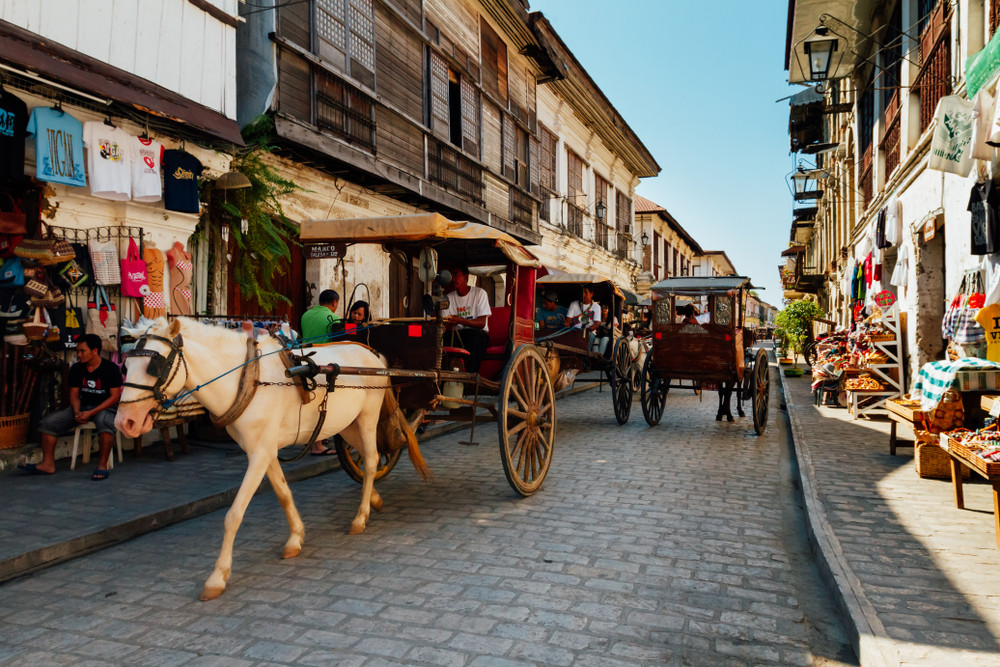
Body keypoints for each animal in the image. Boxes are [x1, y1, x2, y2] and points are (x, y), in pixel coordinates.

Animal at [115, 318, 428, 600]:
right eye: (125, 367)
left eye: (154, 367)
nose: (125, 423)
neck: (248, 379)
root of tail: (373, 355)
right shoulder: (264, 449)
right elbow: (283, 493)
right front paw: (295, 538)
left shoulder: (260, 454)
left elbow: (234, 514)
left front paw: (217, 577)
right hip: (347, 424)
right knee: (365, 457)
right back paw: (373, 499)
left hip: (367, 417)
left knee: (373, 459)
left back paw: (360, 517)